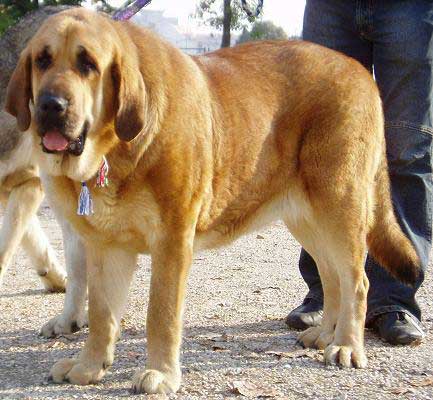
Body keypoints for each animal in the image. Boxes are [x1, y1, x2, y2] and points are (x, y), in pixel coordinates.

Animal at [5, 7, 418, 396]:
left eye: (87, 63)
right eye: (42, 60)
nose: (51, 105)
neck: (116, 148)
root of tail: (361, 71)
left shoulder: (171, 241)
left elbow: (161, 314)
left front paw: (161, 374)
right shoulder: (106, 247)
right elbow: (102, 314)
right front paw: (88, 367)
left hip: (339, 207)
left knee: (357, 282)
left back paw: (347, 346)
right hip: (308, 219)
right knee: (332, 278)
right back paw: (325, 335)